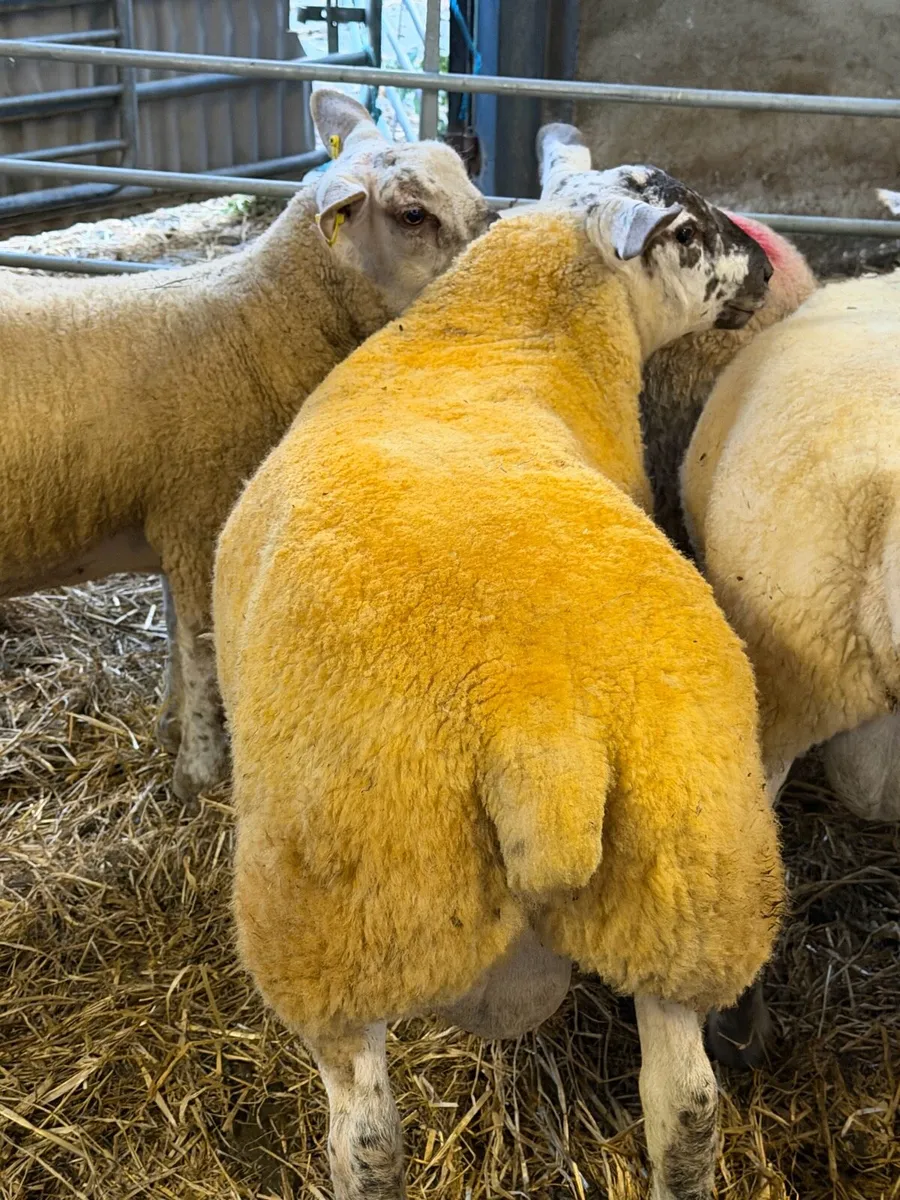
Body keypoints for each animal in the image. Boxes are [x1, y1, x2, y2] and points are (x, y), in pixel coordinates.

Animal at [0, 88, 495, 804]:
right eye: (412, 214)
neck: (255, 324)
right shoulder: (198, 514)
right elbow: (204, 650)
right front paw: (200, 773)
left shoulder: (175, 518)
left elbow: (178, 640)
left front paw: (171, 732)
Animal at [213, 124, 783, 1200]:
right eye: (686, 231)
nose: (768, 268)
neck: (504, 335)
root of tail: (543, 737)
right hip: (693, 883)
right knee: (685, 1108)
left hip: (341, 924)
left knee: (369, 1138)